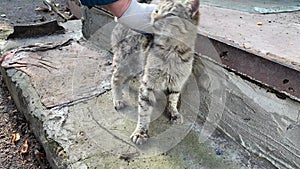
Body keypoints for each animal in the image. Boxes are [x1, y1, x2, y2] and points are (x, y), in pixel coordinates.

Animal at [110, 0, 199, 144]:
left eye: (170, 14)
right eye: (156, 11)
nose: (155, 19)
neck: (172, 51)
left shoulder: (177, 82)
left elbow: (173, 99)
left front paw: (173, 113)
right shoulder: (148, 84)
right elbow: (144, 111)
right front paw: (140, 132)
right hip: (123, 61)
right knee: (115, 79)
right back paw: (117, 100)